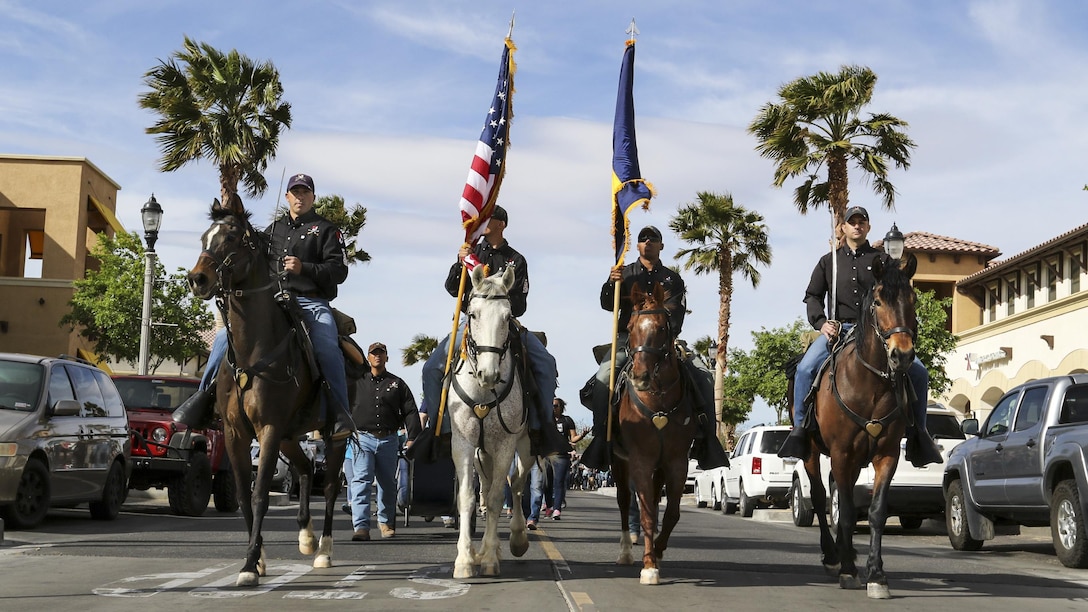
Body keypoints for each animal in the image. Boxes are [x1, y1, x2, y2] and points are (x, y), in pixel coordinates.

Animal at [187, 192, 348, 583]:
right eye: (203, 238)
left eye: (231, 237)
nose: (197, 279)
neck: (254, 349)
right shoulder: (236, 433)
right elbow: (244, 497)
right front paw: (257, 558)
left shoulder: (270, 427)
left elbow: (260, 494)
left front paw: (248, 565)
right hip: (292, 435)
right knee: (304, 468)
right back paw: (305, 534)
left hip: (331, 436)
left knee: (330, 486)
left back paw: (324, 550)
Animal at [446, 264, 530, 574]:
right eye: (473, 314)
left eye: (508, 316)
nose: (489, 374)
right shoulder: (463, 444)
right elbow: (467, 498)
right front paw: (464, 560)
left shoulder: (505, 444)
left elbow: (496, 498)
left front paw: (491, 560)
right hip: (483, 453)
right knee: (487, 483)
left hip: (525, 446)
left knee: (516, 484)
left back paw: (516, 539)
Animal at [613, 280, 696, 579]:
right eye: (630, 327)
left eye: (661, 327)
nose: (640, 377)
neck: (658, 399)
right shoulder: (640, 459)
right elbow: (646, 512)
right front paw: (648, 566)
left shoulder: (676, 461)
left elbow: (671, 513)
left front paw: (657, 553)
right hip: (620, 463)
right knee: (624, 501)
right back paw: (626, 552)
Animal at [800, 250, 918, 596]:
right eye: (878, 301)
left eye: (913, 299)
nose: (902, 355)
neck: (871, 384)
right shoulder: (840, 452)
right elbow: (847, 512)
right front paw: (849, 570)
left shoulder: (886, 454)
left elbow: (876, 512)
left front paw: (876, 574)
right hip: (812, 452)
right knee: (819, 497)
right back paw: (833, 556)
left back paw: (846, 552)